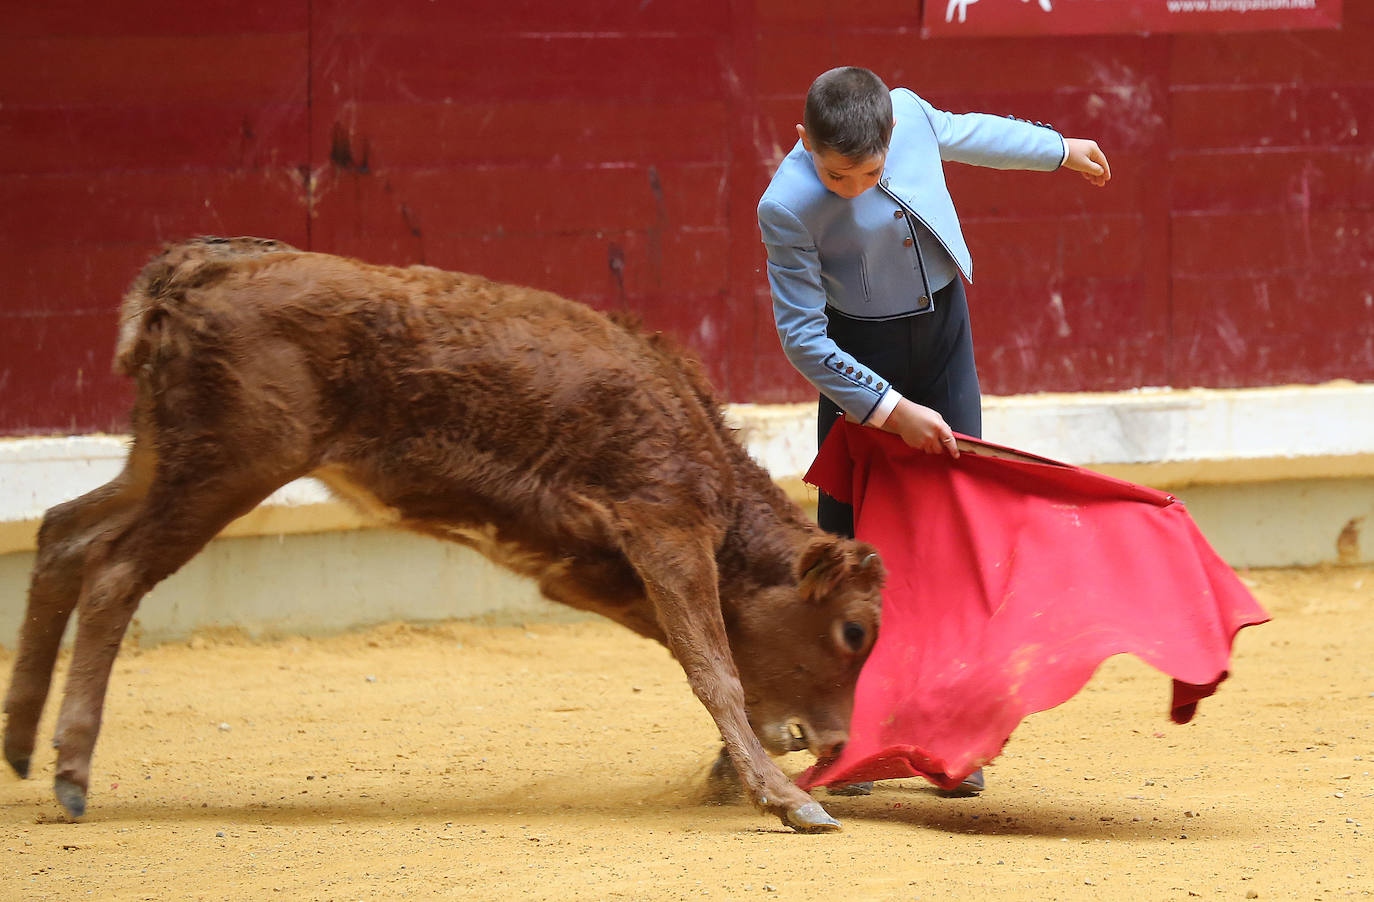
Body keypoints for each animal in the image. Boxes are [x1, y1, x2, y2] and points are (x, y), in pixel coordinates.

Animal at [2, 237, 879, 830]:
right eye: (854, 631)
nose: (841, 744)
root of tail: (197, 268)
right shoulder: (665, 527)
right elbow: (715, 669)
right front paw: (785, 799)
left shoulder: (605, 569)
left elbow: (708, 661)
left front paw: (740, 774)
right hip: (226, 468)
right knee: (115, 572)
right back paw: (71, 772)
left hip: (162, 459)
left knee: (63, 533)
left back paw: (21, 742)